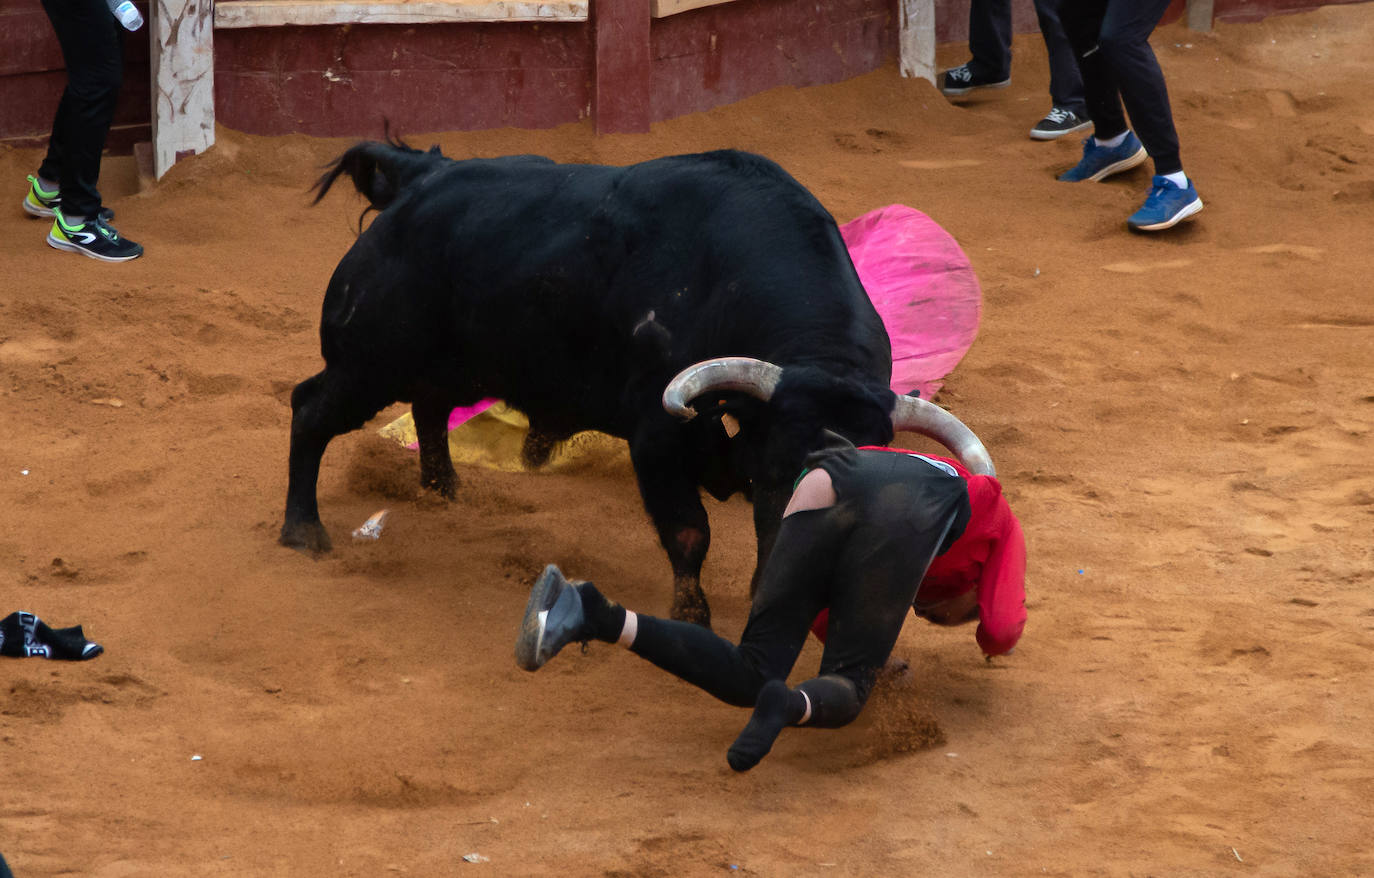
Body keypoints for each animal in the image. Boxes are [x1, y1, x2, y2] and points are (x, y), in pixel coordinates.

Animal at [281, 142, 989, 626]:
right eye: (777, 474)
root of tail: (421, 176)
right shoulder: (657, 439)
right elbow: (689, 533)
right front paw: (692, 619)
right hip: (368, 361)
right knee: (312, 410)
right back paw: (303, 534)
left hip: (448, 362)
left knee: (429, 406)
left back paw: (445, 495)